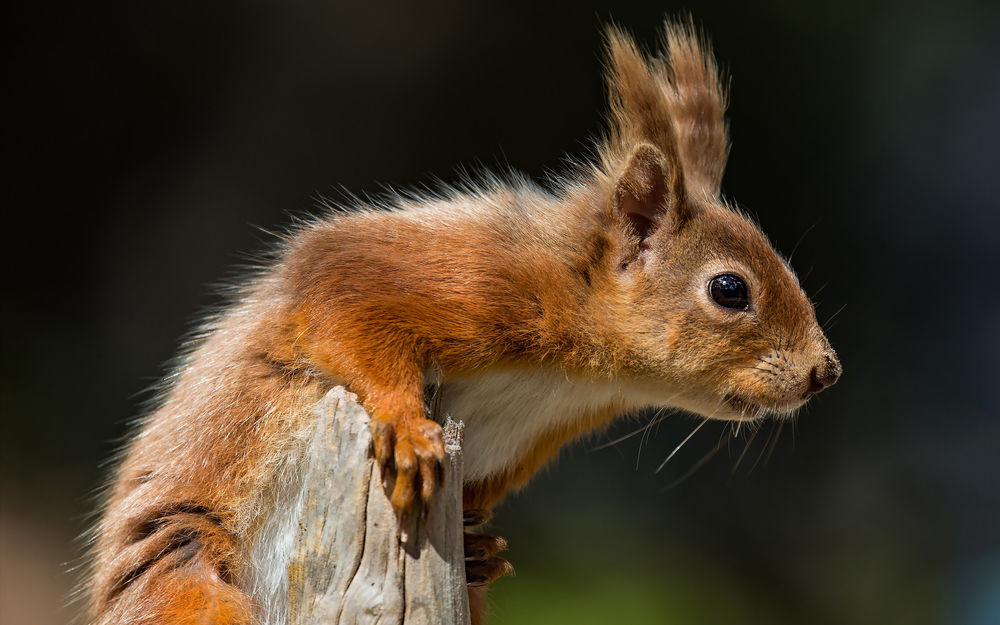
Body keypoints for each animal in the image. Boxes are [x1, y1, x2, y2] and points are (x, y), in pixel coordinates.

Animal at [86, 19, 840, 625]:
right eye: (729, 290)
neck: (571, 378)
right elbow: (342, 312)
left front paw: (484, 549)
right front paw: (408, 428)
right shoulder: (458, 278)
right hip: (180, 571)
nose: (825, 371)